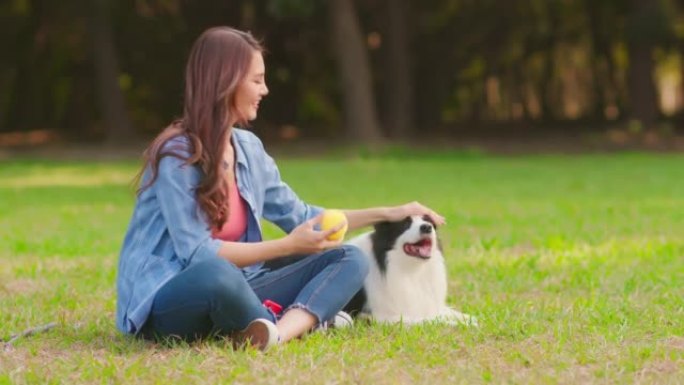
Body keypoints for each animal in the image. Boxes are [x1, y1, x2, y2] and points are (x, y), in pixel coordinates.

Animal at [344, 214, 478, 326]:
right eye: (405, 224)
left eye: (428, 221)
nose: (427, 227)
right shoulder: (383, 316)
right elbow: (431, 320)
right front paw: (459, 324)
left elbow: (455, 313)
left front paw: (472, 319)